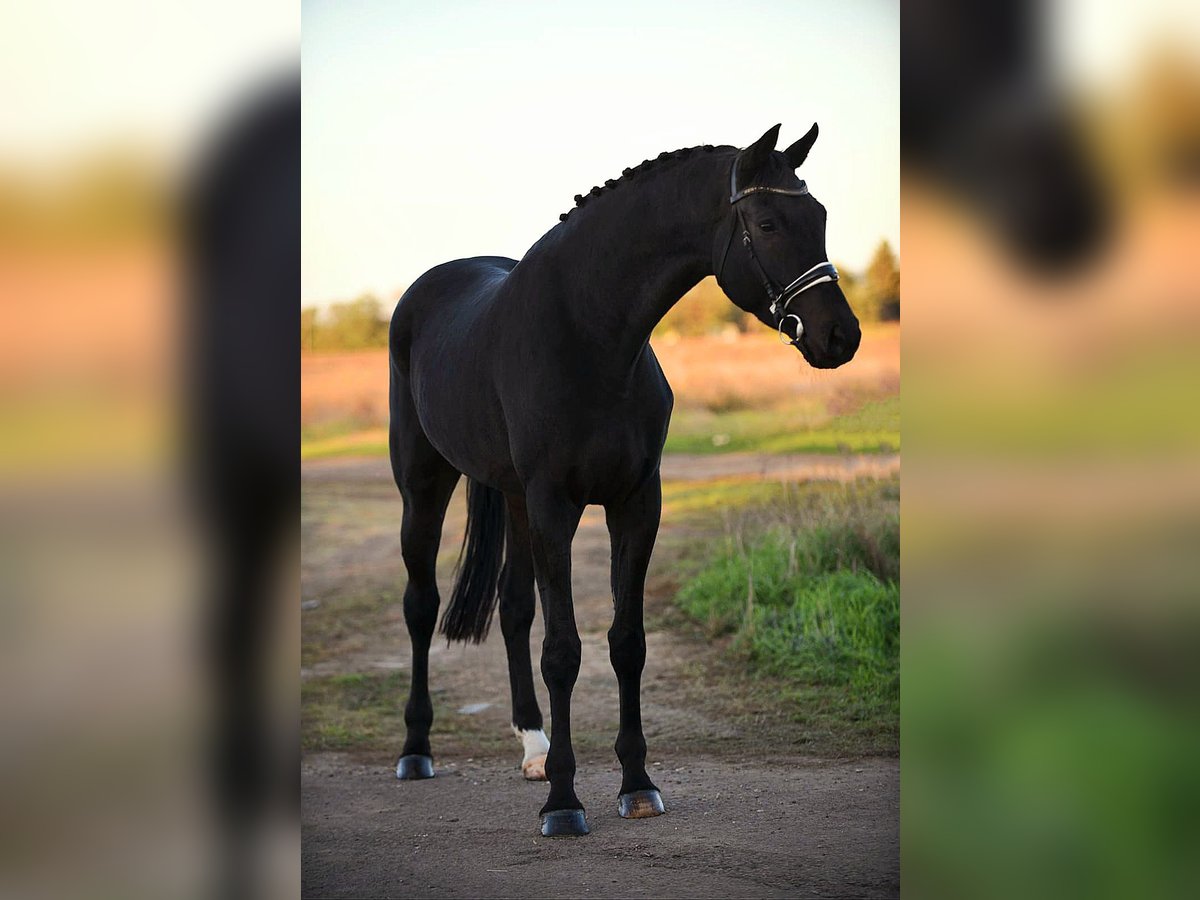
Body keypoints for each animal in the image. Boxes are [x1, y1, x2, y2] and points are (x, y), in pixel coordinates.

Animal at [388, 125, 859, 840]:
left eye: (822, 216)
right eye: (768, 222)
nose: (841, 335)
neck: (589, 335)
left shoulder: (636, 503)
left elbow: (626, 644)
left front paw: (637, 784)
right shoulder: (556, 506)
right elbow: (563, 650)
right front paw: (564, 803)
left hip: (516, 501)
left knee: (513, 607)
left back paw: (533, 747)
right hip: (425, 487)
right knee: (420, 605)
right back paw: (417, 750)